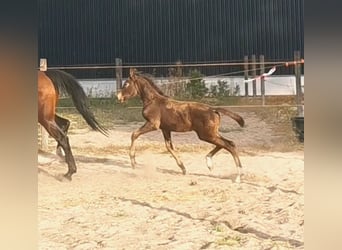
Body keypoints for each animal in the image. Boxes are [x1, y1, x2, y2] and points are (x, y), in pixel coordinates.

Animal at [117, 69, 246, 183]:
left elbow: (134, 134)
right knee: (227, 143)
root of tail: (213, 109)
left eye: (126, 84)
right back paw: (210, 163)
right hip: (211, 133)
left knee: (228, 145)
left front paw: (133, 162)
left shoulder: (153, 124)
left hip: (206, 135)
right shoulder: (165, 129)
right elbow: (169, 147)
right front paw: (183, 168)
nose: (119, 97)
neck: (152, 101)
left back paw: (238, 177)